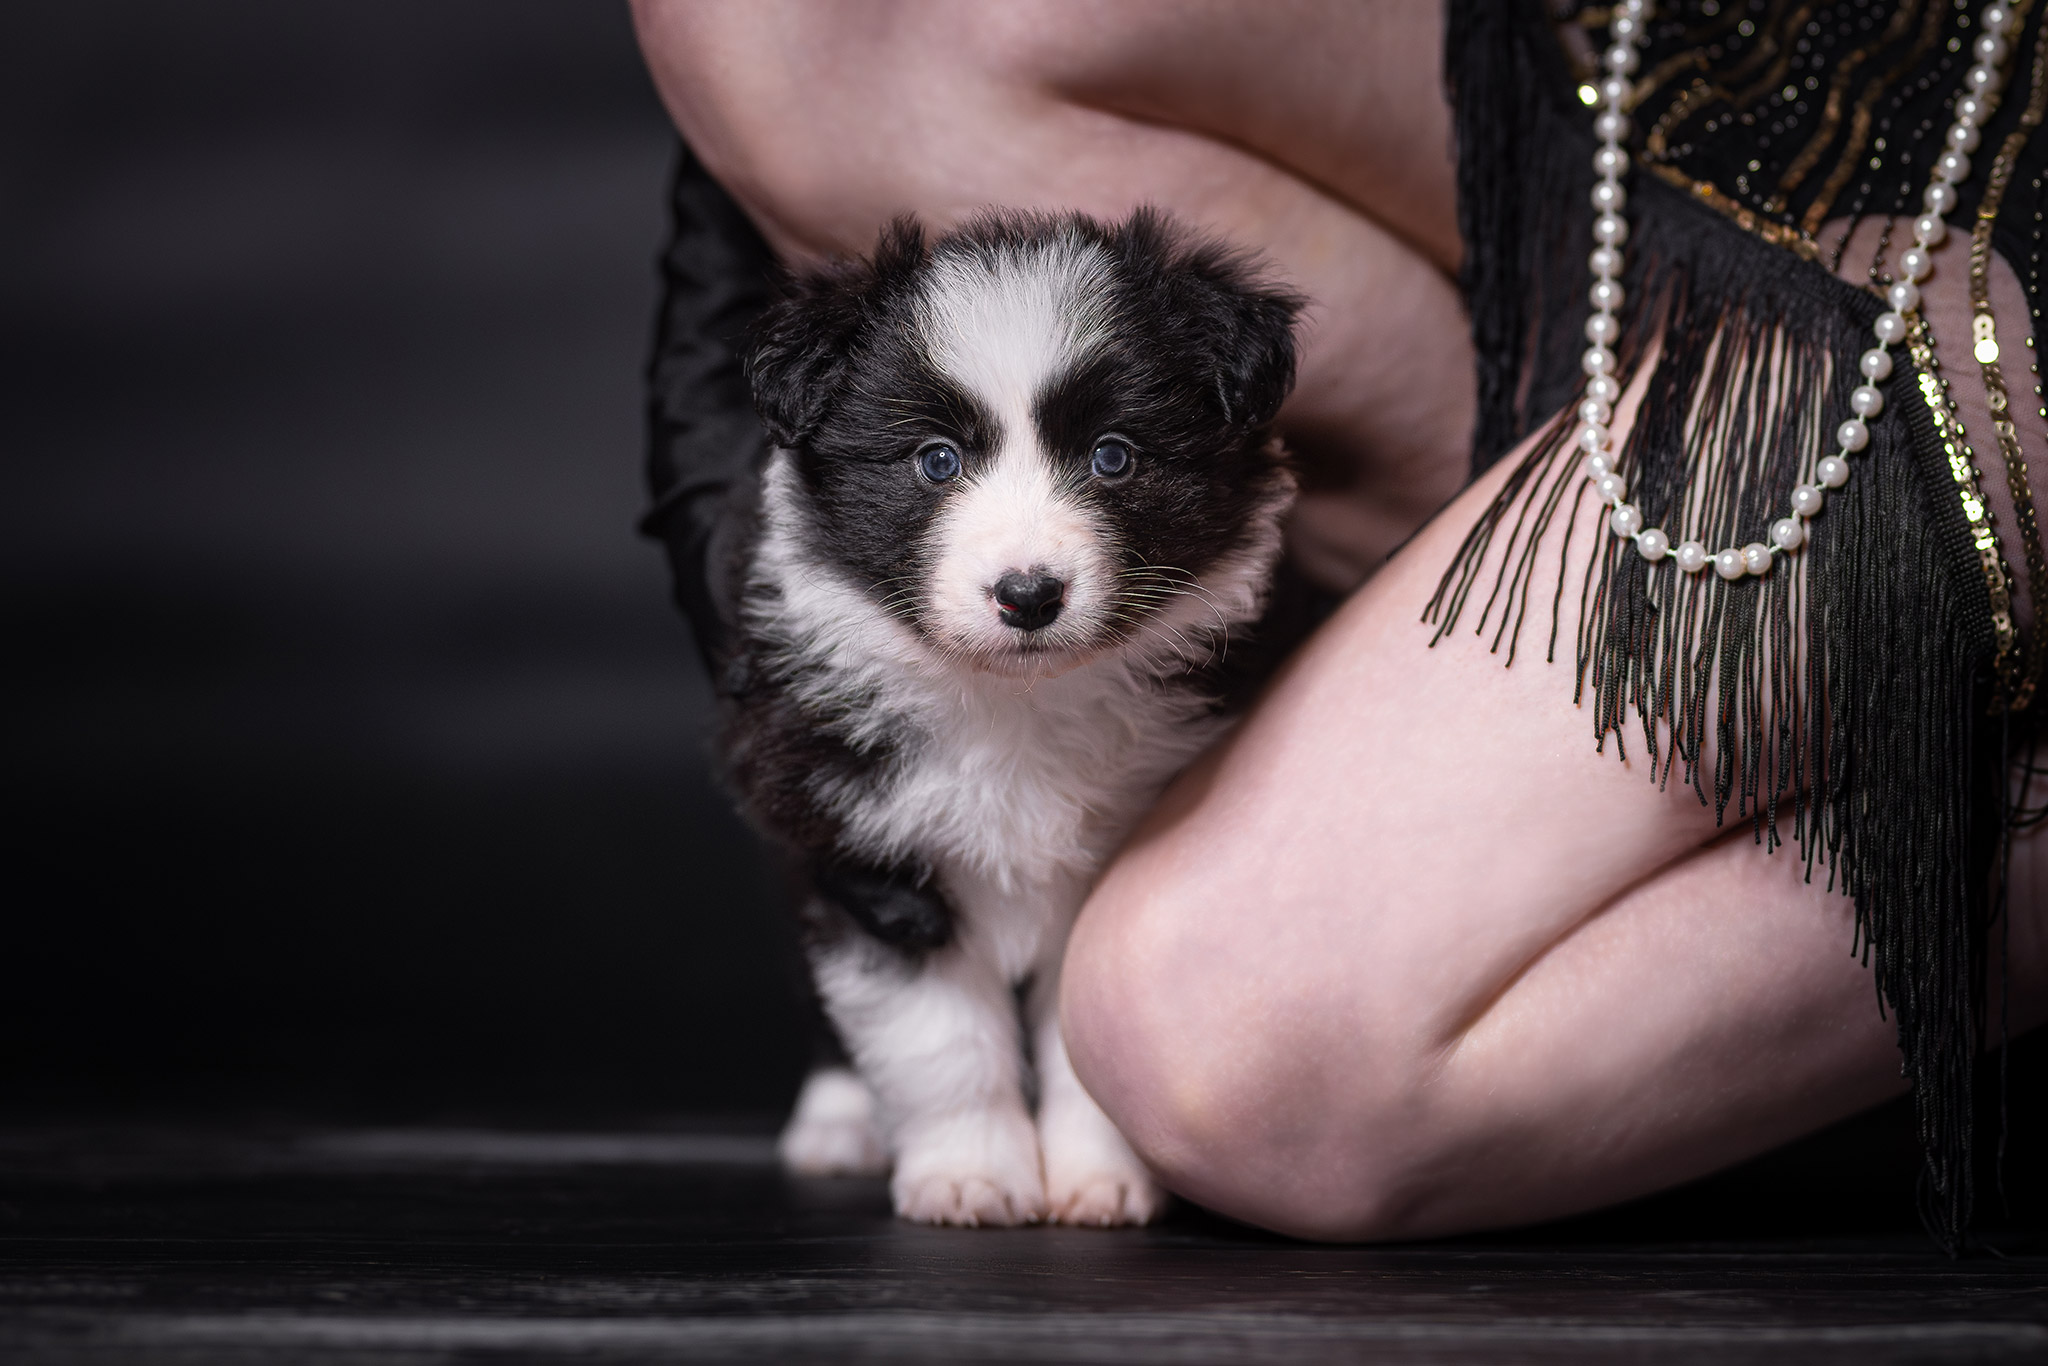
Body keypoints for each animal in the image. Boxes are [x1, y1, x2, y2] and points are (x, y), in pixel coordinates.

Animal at [724, 214, 1294, 1228]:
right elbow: (937, 1040)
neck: (1018, 706)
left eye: (1114, 455)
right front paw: (971, 1175)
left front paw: (1102, 1179)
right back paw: (836, 1123)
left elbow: (1087, 1039)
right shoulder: (865, 855)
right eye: (935, 460)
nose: (1028, 595)